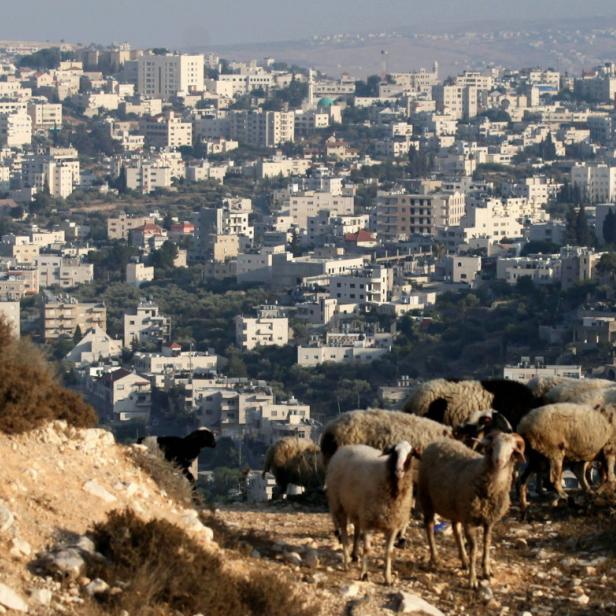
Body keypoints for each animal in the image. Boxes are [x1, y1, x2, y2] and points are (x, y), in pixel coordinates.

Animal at [324, 440, 422, 584]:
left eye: (411, 454)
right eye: (394, 452)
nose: (398, 470)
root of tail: (345, 447)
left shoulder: (393, 525)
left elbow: (389, 552)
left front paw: (388, 578)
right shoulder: (368, 521)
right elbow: (367, 549)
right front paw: (364, 574)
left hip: (357, 509)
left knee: (356, 530)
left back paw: (354, 555)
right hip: (339, 505)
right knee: (345, 534)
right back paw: (346, 561)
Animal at [418, 430, 524, 588]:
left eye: (511, 449)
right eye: (493, 445)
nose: (498, 461)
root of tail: (437, 441)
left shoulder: (489, 521)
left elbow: (487, 543)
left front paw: (486, 571)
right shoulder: (469, 520)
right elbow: (474, 548)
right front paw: (472, 579)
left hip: (455, 507)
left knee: (455, 529)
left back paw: (464, 561)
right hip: (427, 499)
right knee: (429, 527)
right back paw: (435, 558)